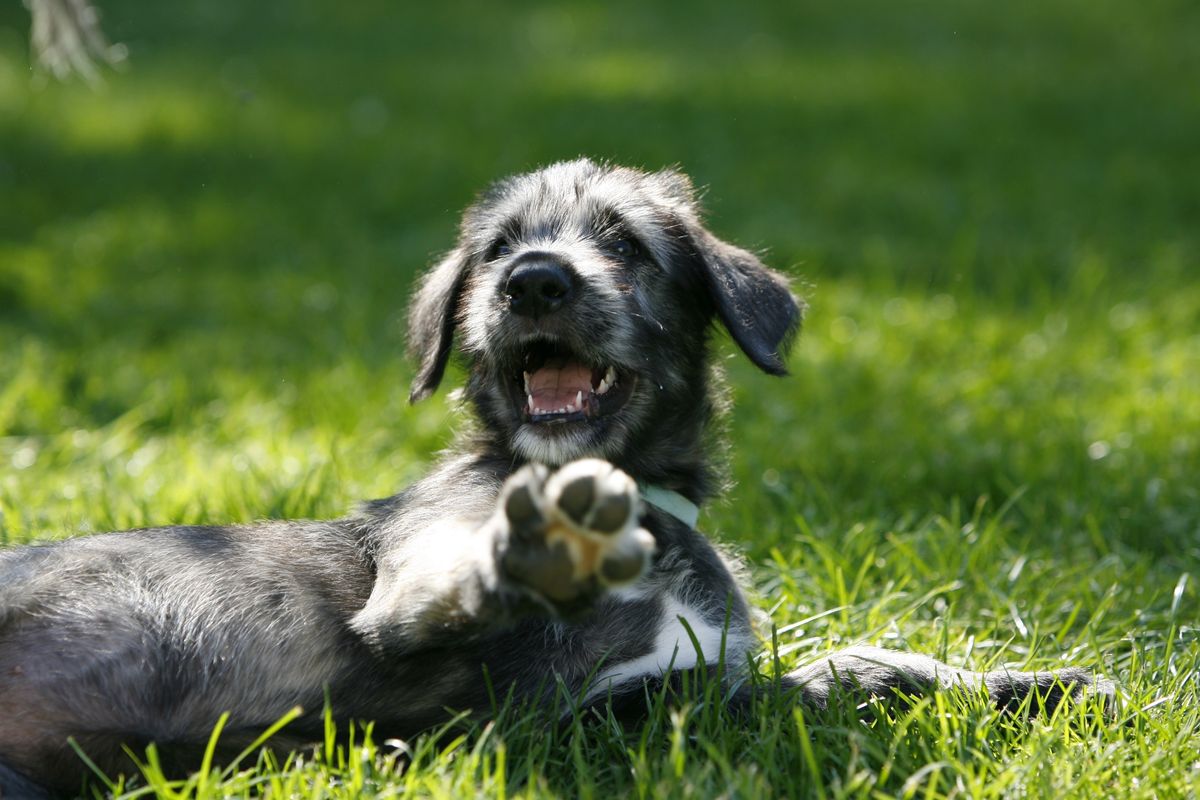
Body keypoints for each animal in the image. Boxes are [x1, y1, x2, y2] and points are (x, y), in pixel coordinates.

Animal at [0, 159, 1108, 796]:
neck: (646, 513)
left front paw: (1030, 681)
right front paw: (545, 548)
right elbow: (777, 692)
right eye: (495, 248)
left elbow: (857, 660)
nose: (532, 279)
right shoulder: (559, 708)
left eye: (626, 243)